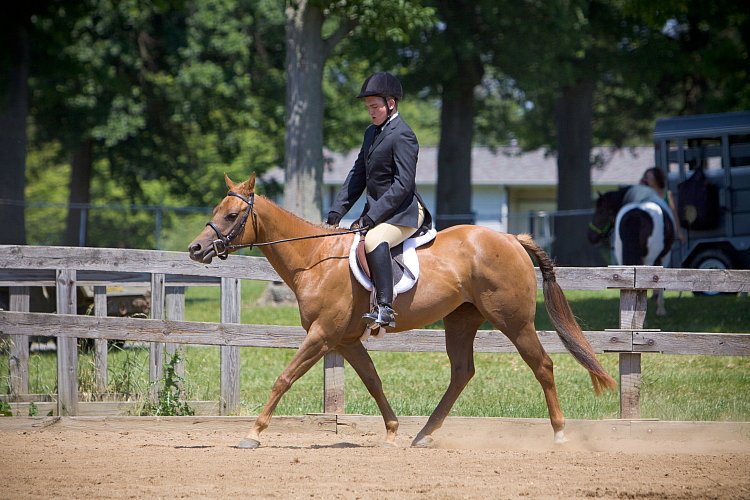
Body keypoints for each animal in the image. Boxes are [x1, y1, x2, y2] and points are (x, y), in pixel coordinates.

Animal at [189, 173, 616, 450]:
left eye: (231, 216)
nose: (196, 249)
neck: (315, 259)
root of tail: (511, 238)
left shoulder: (322, 336)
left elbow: (284, 378)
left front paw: (252, 434)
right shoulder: (344, 340)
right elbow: (373, 382)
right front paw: (393, 430)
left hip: (513, 320)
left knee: (542, 365)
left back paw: (559, 434)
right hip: (461, 321)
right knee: (462, 372)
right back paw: (423, 434)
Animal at [592, 186, 680, 314]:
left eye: (600, 211)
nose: (591, 237)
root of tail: (636, 215)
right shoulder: (665, 256)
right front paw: (660, 308)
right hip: (649, 259)